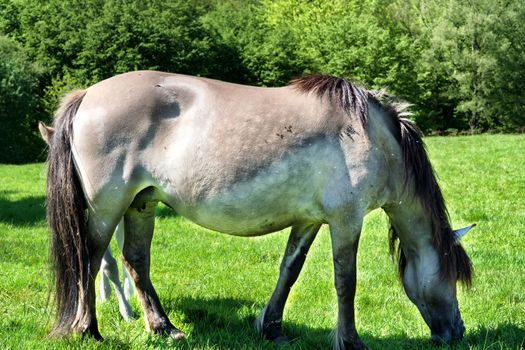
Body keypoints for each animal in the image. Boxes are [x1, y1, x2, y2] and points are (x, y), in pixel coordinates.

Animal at [43, 70, 472, 348]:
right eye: (452, 275)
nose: (458, 332)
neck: (373, 137)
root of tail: (87, 95)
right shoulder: (345, 220)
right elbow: (345, 282)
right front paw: (350, 341)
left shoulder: (308, 221)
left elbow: (290, 271)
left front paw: (272, 328)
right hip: (106, 207)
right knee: (90, 258)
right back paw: (87, 330)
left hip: (141, 204)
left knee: (135, 261)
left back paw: (164, 328)